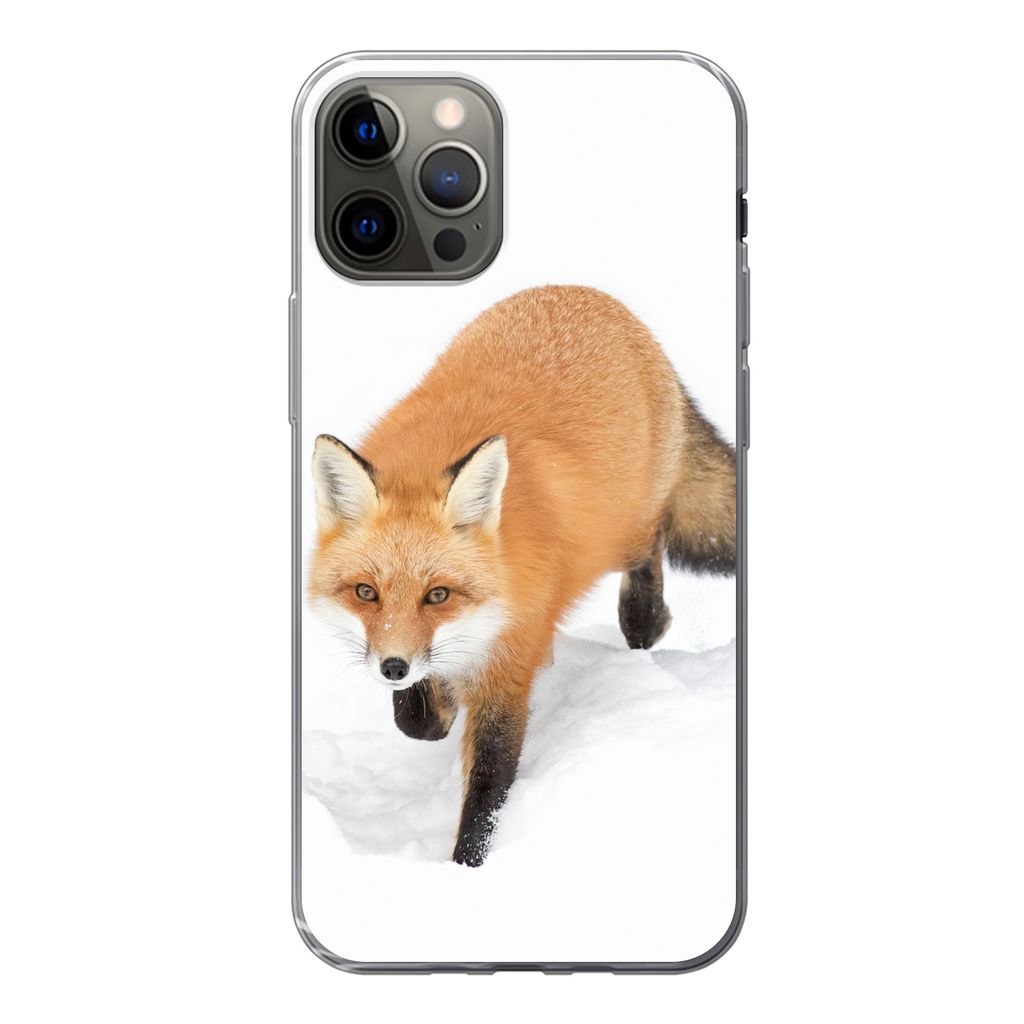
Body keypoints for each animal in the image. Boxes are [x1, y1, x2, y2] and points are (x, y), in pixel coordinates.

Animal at [309, 285, 736, 866]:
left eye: (437, 594)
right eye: (365, 592)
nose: (393, 667)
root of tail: (589, 294)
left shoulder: (510, 666)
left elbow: (489, 786)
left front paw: (468, 868)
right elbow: (418, 721)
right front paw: (437, 703)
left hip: (624, 530)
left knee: (653, 545)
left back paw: (647, 619)